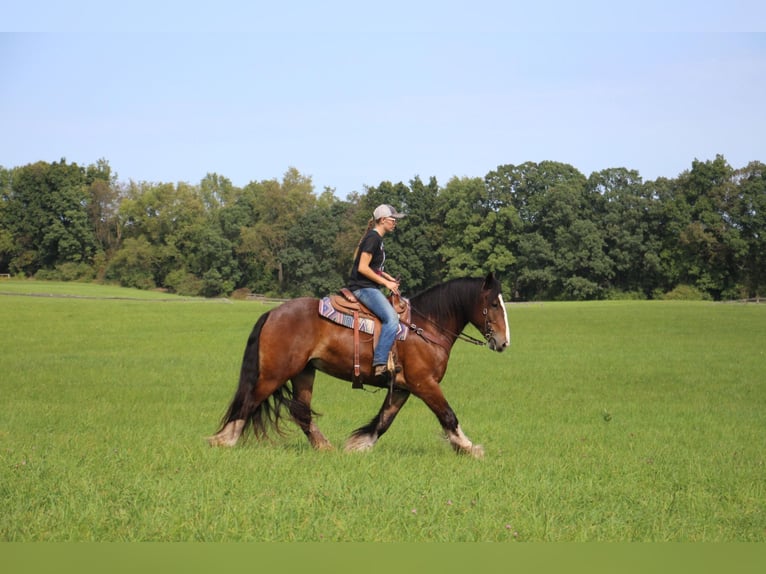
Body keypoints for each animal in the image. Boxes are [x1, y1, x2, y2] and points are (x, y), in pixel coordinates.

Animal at [207, 274, 512, 460]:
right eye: (493, 304)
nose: (504, 342)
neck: (425, 327)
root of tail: (272, 312)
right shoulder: (424, 383)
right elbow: (448, 415)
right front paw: (469, 447)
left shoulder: (404, 387)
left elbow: (384, 419)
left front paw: (358, 445)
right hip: (275, 373)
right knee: (249, 402)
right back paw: (224, 440)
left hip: (305, 372)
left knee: (300, 411)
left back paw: (324, 446)